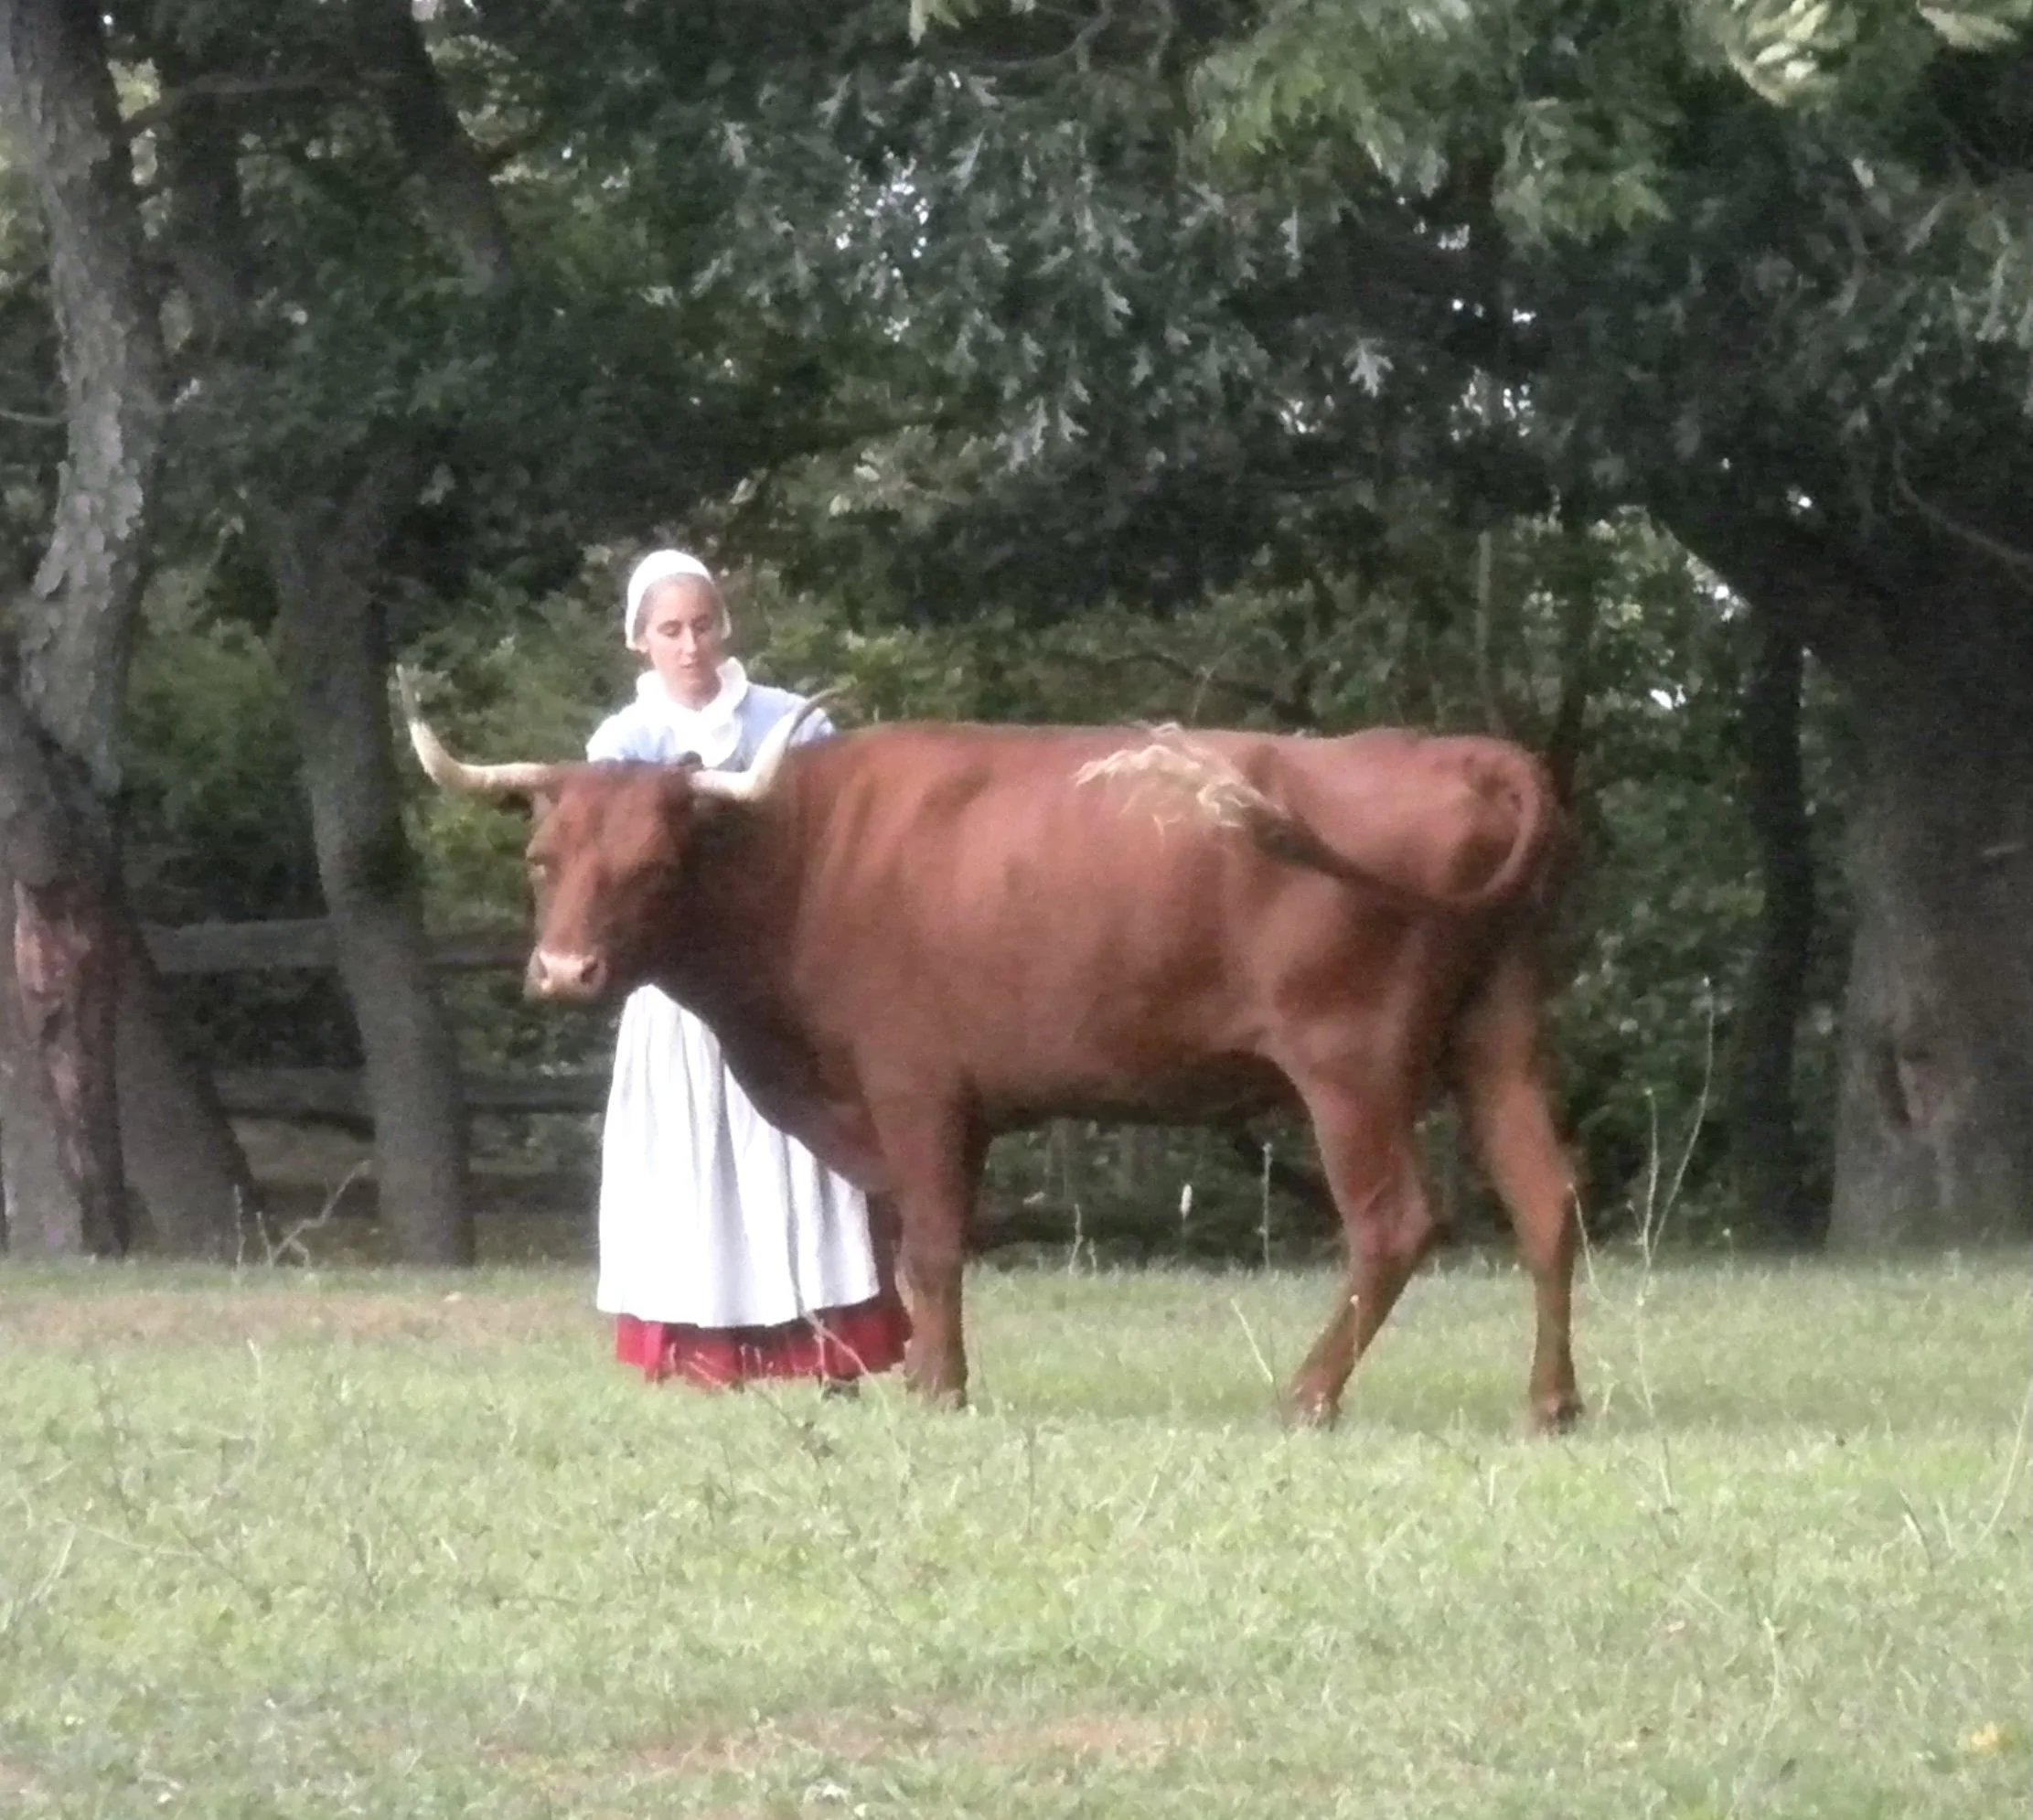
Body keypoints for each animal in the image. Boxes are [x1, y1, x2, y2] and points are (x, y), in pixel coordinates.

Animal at [398, 679, 1582, 1431]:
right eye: (542, 855)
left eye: (653, 864)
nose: (563, 973)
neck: (804, 857)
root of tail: (1469, 753)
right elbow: (896, 1245)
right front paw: (917, 1371)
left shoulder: (916, 1089)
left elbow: (930, 1245)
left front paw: (938, 1390)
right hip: (1499, 1040)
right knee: (1545, 1200)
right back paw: (1550, 1402)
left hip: (1350, 1065)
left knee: (1393, 1224)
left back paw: (1308, 1395)